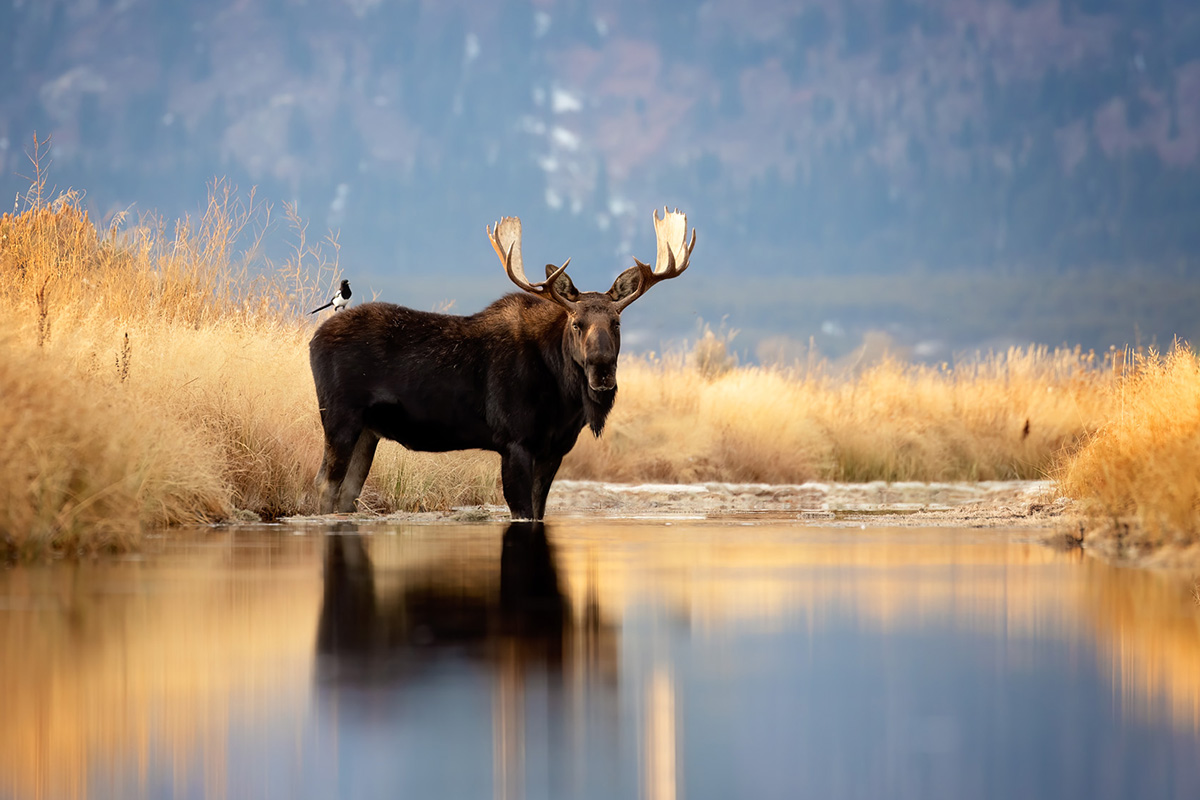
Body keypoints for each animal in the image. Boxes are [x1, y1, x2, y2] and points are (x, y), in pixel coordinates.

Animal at [308, 208, 696, 520]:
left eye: (616, 322)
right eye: (576, 323)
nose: (602, 372)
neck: (563, 397)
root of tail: (313, 339)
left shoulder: (554, 449)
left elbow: (539, 510)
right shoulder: (515, 442)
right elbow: (522, 510)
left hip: (368, 430)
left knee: (347, 492)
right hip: (340, 418)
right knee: (323, 484)